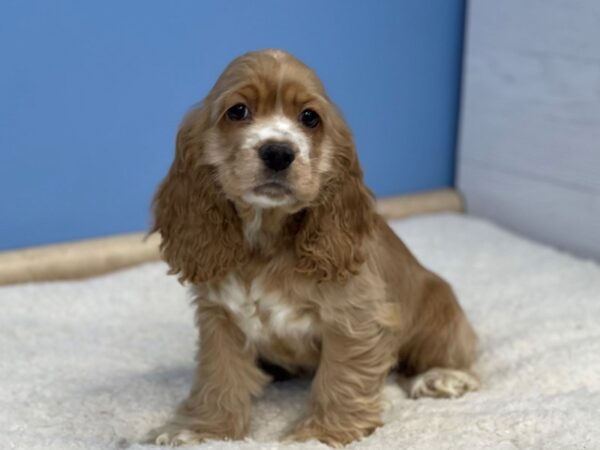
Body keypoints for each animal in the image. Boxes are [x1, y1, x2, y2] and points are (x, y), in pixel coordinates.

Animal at [149, 50, 478, 446]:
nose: (278, 152)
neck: (267, 240)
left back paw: (441, 377)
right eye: (238, 111)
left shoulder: (354, 316)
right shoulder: (220, 316)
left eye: (309, 118)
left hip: (438, 310)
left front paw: (321, 433)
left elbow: (340, 377)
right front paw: (204, 430)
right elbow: (219, 376)